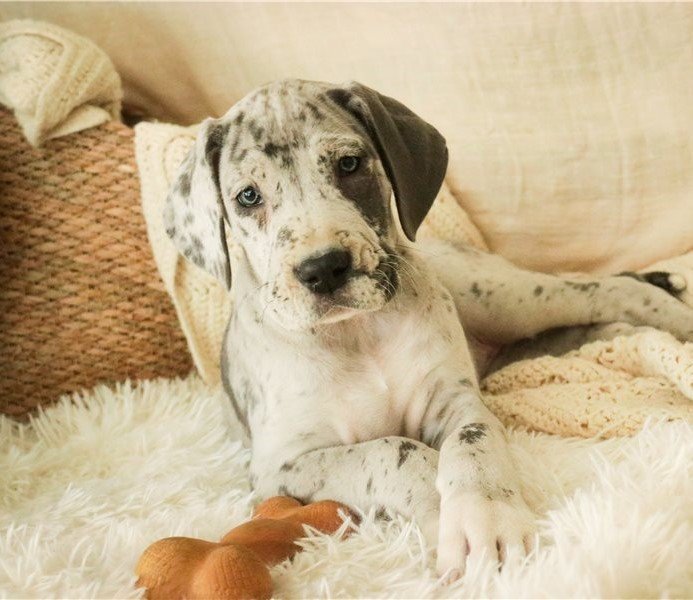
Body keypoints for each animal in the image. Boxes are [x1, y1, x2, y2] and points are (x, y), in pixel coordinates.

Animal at [163, 79, 693, 577]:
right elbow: (395, 450)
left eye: (349, 165)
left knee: (613, 290)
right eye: (247, 197)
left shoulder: (457, 403)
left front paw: (486, 518)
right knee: (594, 325)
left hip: (506, 297)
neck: (356, 334)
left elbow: (471, 447)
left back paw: (673, 315)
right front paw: (447, 516)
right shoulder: (283, 466)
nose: (323, 269)